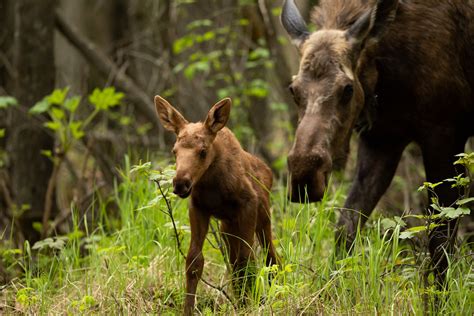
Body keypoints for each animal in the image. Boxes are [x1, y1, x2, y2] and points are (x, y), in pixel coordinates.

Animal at [154, 95, 280, 314]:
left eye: (203, 151)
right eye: (174, 151)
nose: (180, 183)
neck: (213, 186)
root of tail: (268, 171)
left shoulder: (248, 205)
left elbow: (246, 259)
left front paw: (250, 305)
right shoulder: (198, 208)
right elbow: (194, 261)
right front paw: (188, 310)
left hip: (263, 218)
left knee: (271, 257)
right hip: (226, 227)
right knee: (236, 261)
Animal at [282, 0, 474, 282]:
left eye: (348, 89)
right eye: (293, 89)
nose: (304, 174)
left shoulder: (444, 133)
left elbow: (440, 239)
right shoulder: (382, 139)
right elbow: (346, 226)